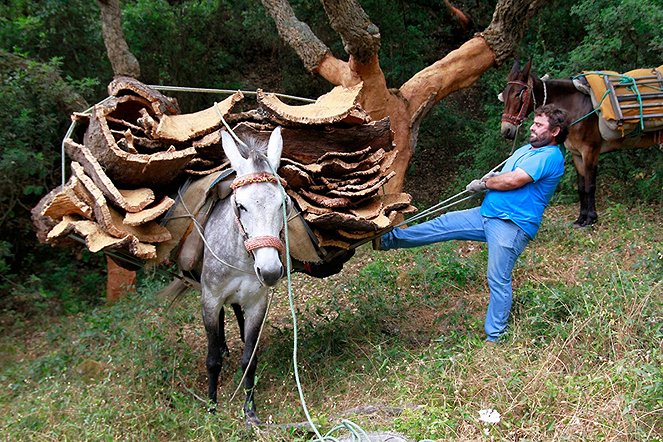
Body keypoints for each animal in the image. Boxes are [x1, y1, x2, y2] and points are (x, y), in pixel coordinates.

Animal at [498, 60, 660, 226]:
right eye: (504, 95)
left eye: (518, 94)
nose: (506, 130)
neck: (573, 107)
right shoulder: (576, 153)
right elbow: (581, 187)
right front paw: (581, 218)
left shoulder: (590, 151)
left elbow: (590, 185)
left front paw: (591, 219)